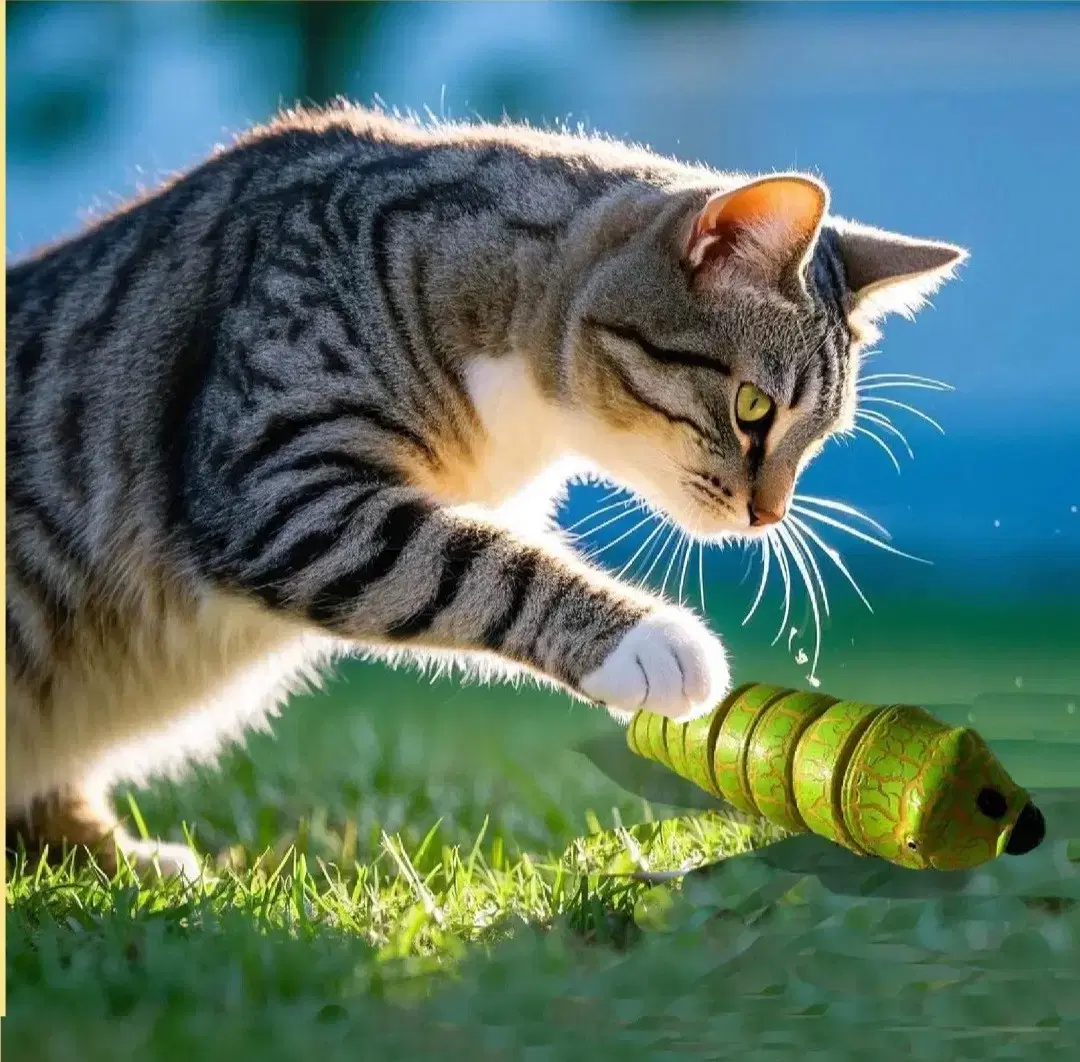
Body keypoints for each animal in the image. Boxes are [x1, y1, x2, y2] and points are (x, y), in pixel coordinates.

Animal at [4, 105, 967, 881]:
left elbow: (481, 544)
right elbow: (472, 561)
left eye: (819, 438)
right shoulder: (271, 480)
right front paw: (649, 640)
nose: (769, 514)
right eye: (754, 409)